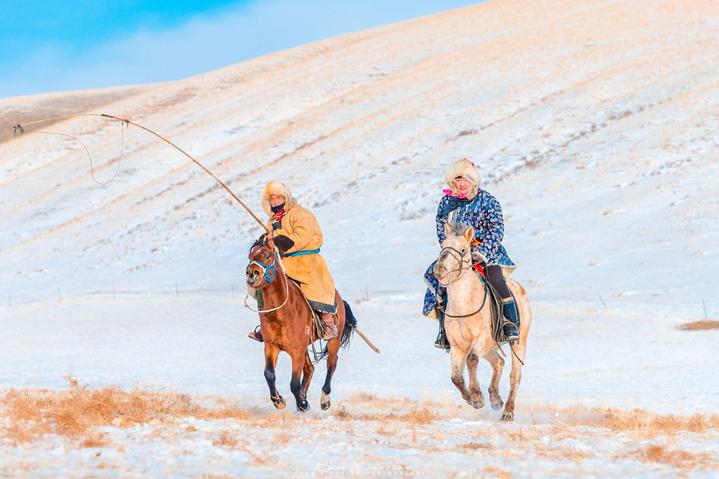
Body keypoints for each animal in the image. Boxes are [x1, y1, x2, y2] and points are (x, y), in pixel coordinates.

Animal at [246, 236, 356, 412]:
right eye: (250, 257)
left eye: (268, 255)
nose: (251, 273)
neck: (281, 313)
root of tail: (339, 298)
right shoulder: (271, 345)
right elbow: (269, 374)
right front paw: (279, 401)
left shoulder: (296, 350)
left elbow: (294, 383)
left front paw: (303, 404)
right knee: (310, 368)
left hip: (334, 340)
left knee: (331, 363)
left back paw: (324, 399)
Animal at [434, 223, 528, 422]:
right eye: (442, 247)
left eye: (463, 250)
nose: (439, 271)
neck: (464, 306)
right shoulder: (457, 346)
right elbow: (456, 377)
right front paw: (471, 398)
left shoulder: (480, 339)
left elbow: (471, 360)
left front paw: (477, 397)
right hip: (490, 348)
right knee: (499, 362)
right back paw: (496, 399)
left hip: (519, 343)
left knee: (515, 375)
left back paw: (508, 412)